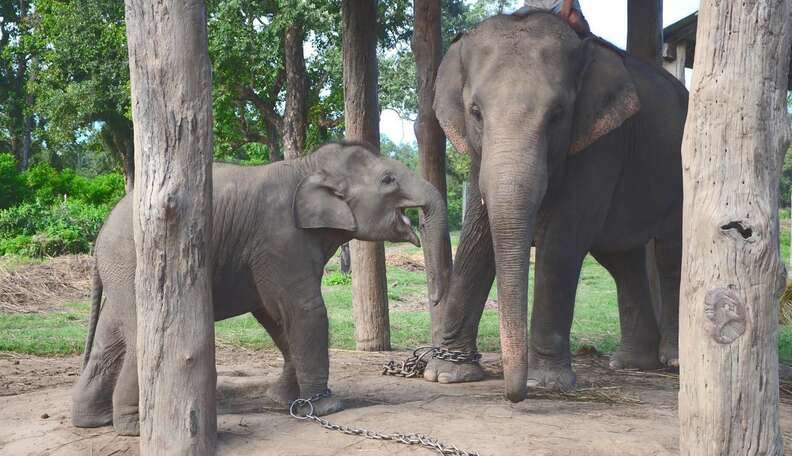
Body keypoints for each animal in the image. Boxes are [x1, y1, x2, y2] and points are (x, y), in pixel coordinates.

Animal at [74, 142, 452, 434]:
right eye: (388, 180)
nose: (435, 299)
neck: (307, 165)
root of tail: (100, 234)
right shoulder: (280, 237)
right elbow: (303, 310)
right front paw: (326, 408)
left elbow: (273, 315)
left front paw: (284, 399)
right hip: (135, 263)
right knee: (141, 335)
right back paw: (134, 428)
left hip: (120, 272)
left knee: (110, 337)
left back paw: (94, 421)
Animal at [426, 10, 688, 402]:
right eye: (475, 112)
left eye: (558, 113)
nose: (513, 396)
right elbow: (477, 236)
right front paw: (445, 373)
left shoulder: (601, 142)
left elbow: (563, 240)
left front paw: (547, 383)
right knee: (621, 259)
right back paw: (631, 364)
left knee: (672, 252)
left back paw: (674, 361)